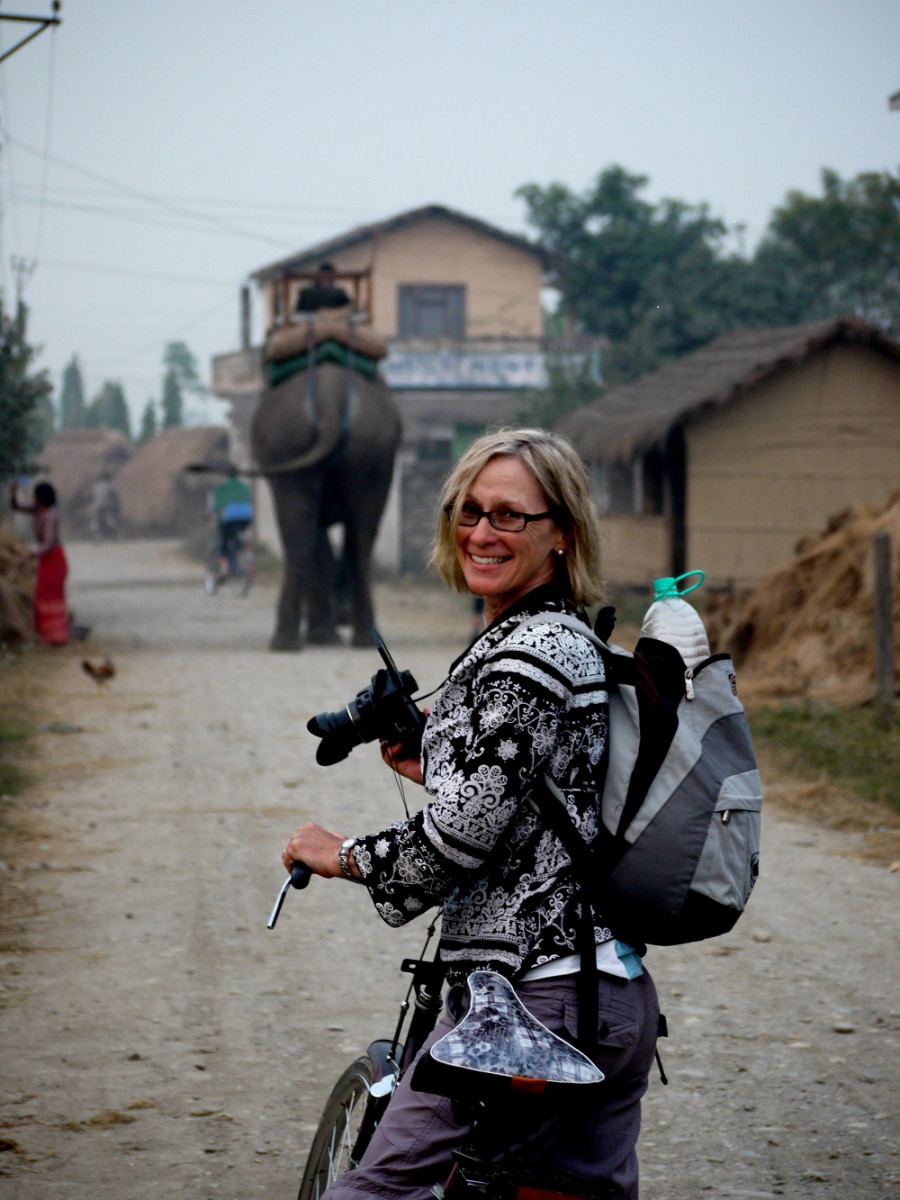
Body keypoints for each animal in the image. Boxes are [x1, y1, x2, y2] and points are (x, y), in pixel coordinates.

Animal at [248, 357, 400, 652]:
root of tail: (330, 393)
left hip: (291, 442)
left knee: (302, 529)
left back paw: (296, 640)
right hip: (368, 448)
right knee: (360, 532)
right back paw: (356, 639)